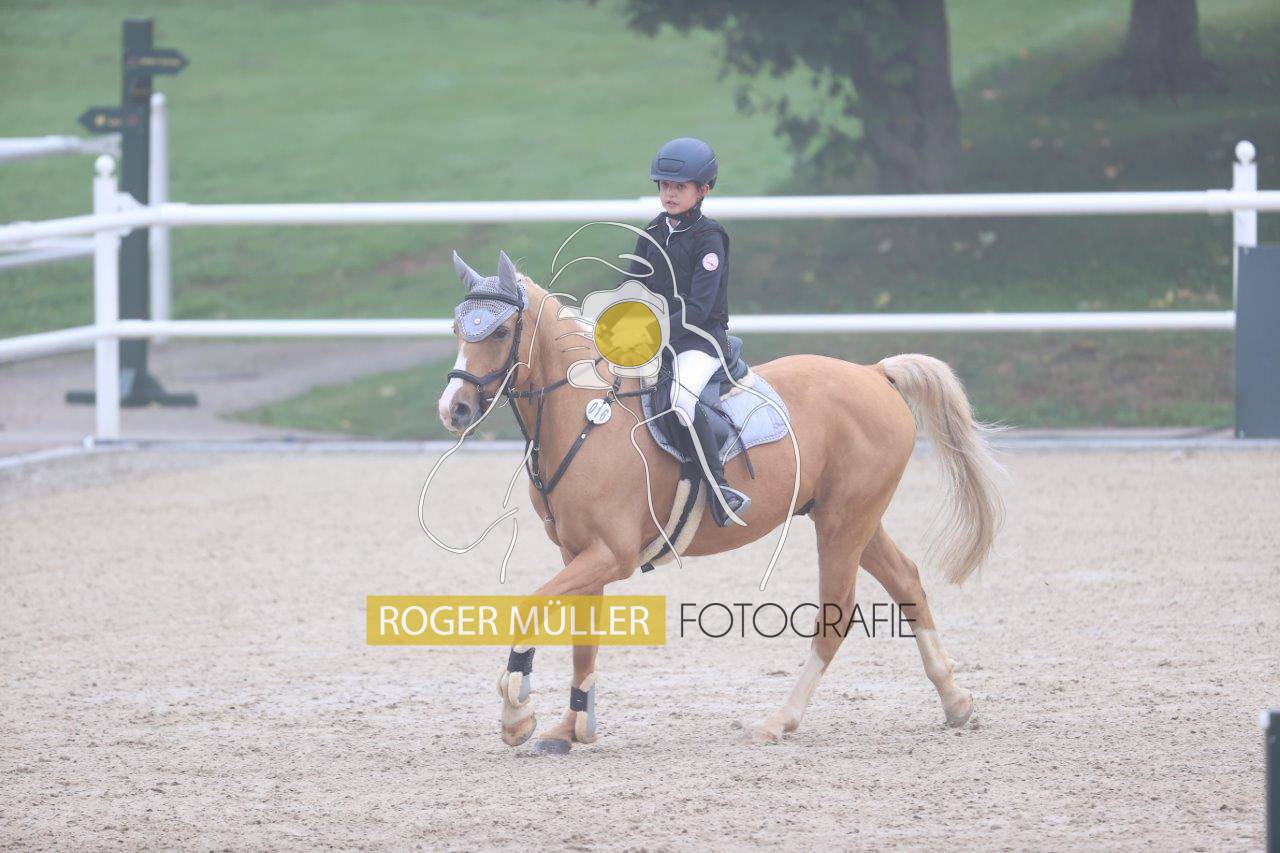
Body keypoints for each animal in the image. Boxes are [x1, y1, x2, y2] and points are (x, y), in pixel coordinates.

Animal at [437, 251, 1005, 752]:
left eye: (501, 332)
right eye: (458, 331)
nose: (454, 408)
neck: (586, 414)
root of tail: (872, 372)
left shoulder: (611, 555)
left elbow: (528, 607)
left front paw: (516, 712)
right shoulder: (579, 554)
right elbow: (583, 643)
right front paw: (570, 727)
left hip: (844, 523)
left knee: (837, 614)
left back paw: (779, 721)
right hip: (851, 518)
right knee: (906, 581)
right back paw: (955, 701)